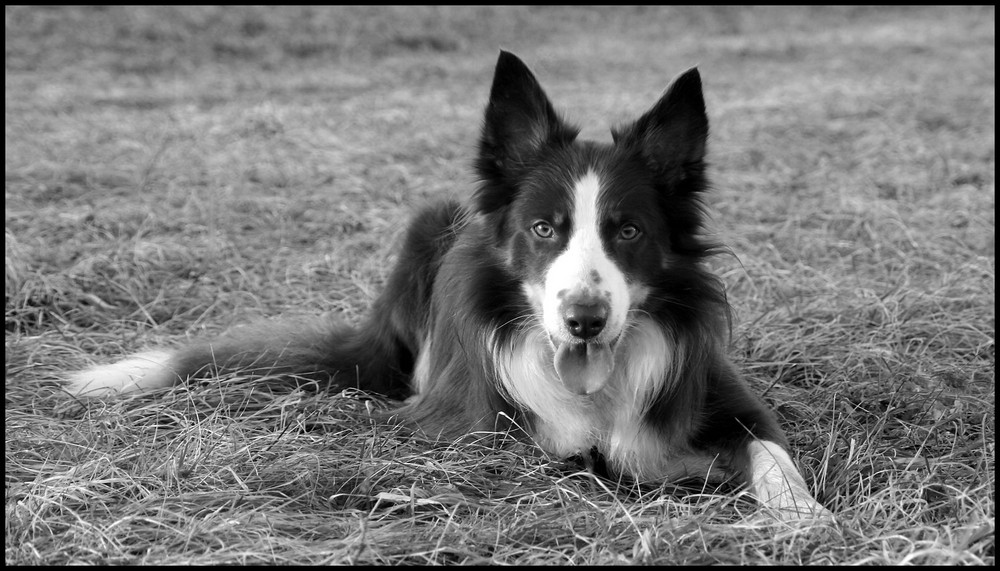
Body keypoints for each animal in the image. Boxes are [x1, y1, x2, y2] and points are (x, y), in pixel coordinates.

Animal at [68, 51, 828, 520]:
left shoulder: (726, 396)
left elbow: (773, 454)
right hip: (427, 233)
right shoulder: (467, 425)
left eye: (629, 231)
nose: (584, 319)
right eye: (545, 228)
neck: (597, 394)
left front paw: (805, 514)